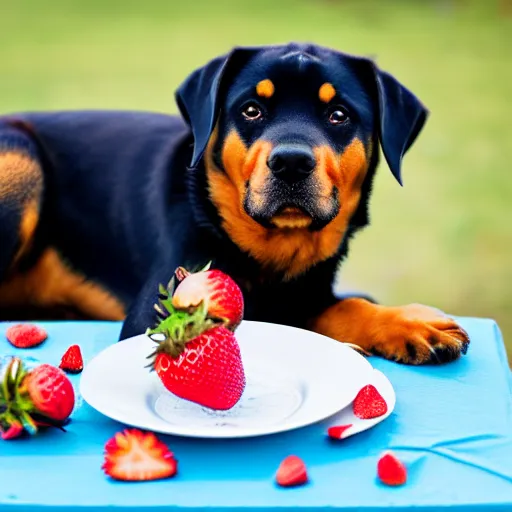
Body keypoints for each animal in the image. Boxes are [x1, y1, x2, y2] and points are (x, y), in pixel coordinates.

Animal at [0, 43, 470, 364]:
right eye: (250, 110)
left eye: (338, 114)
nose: (291, 163)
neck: (276, 251)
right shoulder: (154, 313)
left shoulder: (309, 292)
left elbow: (343, 303)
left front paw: (410, 323)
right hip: (21, 157)